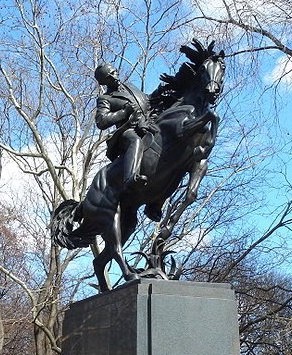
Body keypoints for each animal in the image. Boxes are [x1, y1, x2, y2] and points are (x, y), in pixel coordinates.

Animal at [51, 40, 225, 294]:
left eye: (221, 67)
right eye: (202, 68)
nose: (213, 91)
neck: (190, 106)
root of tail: (83, 201)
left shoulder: (197, 163)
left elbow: (190, 195)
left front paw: (163, 235)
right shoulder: (179, 131)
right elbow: (211, 115)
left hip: (127, 221)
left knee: (99, 260)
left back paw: (109, 289)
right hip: (109, 217)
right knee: (114, 250)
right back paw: (132, 276)